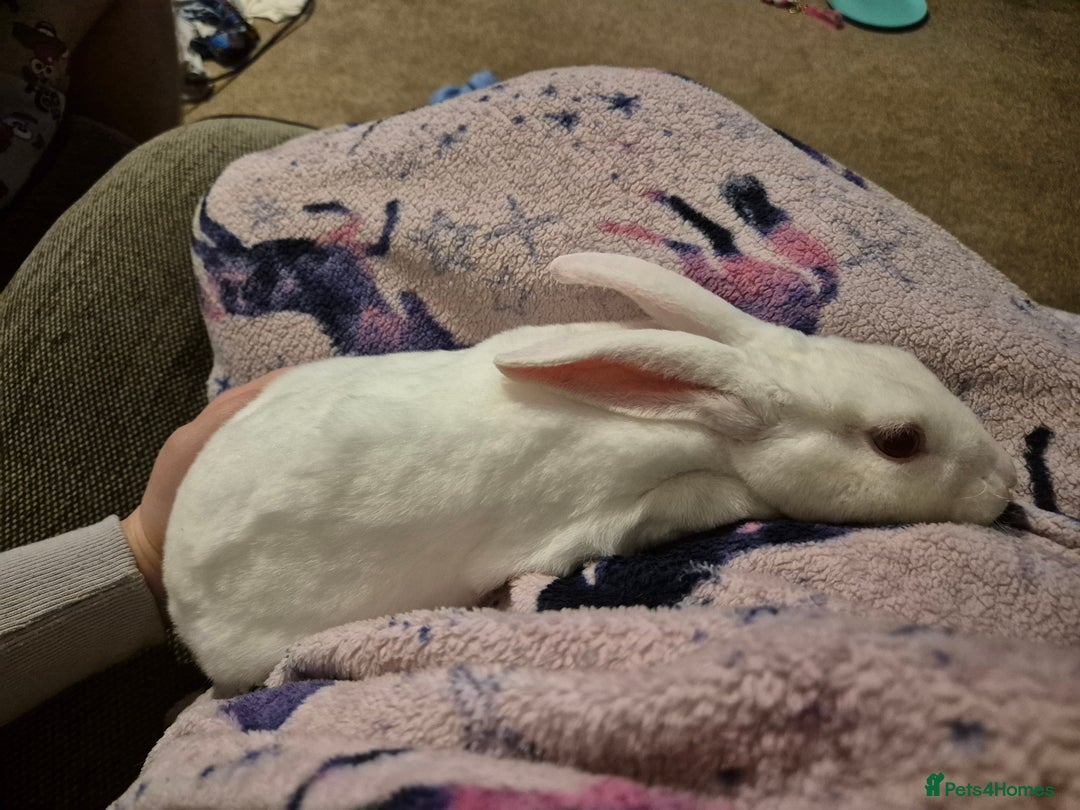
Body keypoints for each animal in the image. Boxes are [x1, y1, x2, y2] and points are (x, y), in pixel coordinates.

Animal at [163, 252, 1018, 692]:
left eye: (909, 363)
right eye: (899, 442)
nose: (1005, 486)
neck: (710, 430)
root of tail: (179, 592)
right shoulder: (624, 509)